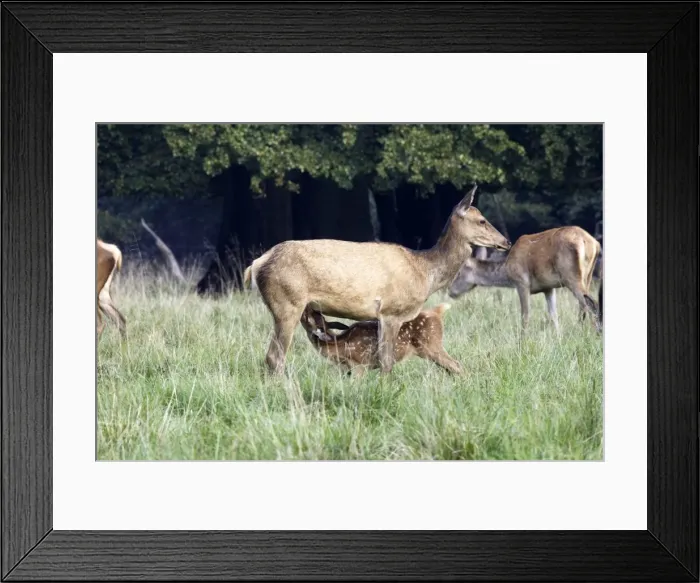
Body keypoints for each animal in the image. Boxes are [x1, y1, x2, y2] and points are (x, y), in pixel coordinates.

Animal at [300, 300, 463, 375]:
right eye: (316, 314)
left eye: (307, 315)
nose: (307, 303)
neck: (339, 345)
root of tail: (437, 312)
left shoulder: (359, 364)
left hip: (432, 345)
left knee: (456, 364)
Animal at [448, 226, 601, 333]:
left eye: (458, 273)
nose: (450, 291)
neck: (507, 270)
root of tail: (593, 243)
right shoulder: (548, 288)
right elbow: (554, 316)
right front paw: (559, 339)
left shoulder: (521, 282)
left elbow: (525, 317)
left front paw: (522, 344)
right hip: (587, 276)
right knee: (584, 305)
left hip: (571, 275)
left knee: (590, 303)